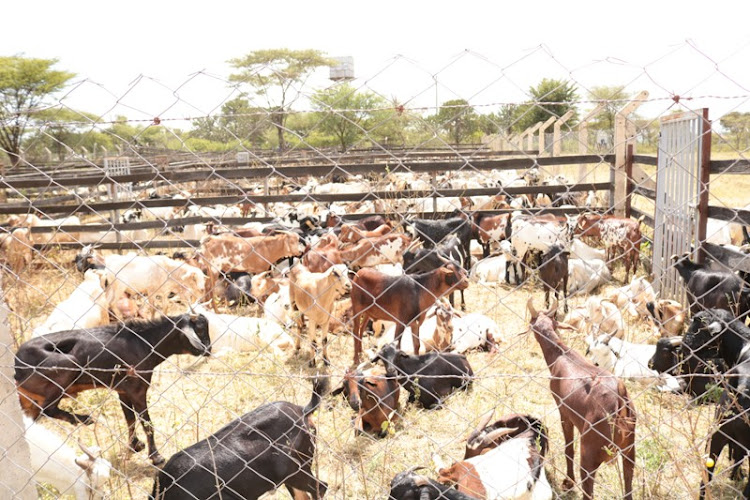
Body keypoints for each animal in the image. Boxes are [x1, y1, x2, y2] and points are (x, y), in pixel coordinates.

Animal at [17, 312, 212, 464]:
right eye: (200, 330)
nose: (208, 349)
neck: (143, 343)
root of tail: (16, 367)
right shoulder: (137, 389)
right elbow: (146, 423)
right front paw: (156, 456)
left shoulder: (123, 391)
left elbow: (129, 419)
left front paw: (135, 445)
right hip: (65, 367)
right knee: (48, 409)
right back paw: (84, 419)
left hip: (28, 401)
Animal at [524, 298, 636, 498]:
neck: (563, 355)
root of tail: (619, 397)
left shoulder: (564, 412)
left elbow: (569, 448)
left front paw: (568, 482)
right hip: (629, 452)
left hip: (589, 456)